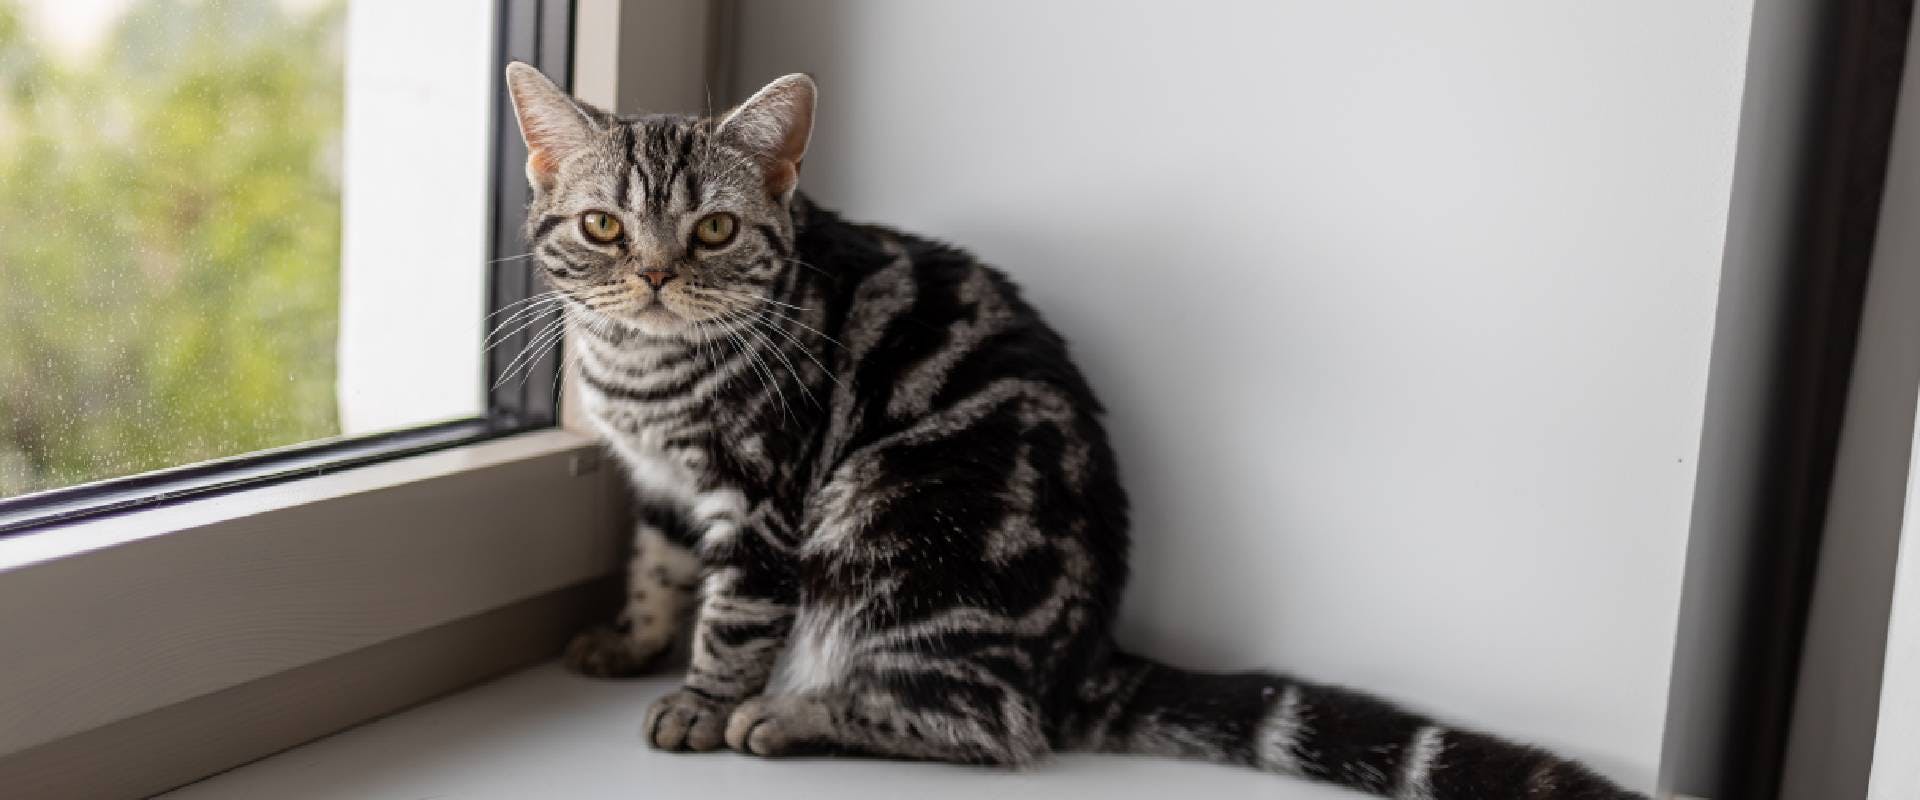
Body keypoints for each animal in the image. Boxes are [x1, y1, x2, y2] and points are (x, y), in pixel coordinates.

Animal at [503, 63, 1643, 798]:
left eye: (714, 230)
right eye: (604, 226)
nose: (656, 273)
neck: (642, 372)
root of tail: (1083, 655)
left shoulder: (765, 497)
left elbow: (735, 613)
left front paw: (699, 698)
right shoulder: (662, 483)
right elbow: (657, 563)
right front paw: (632, 638)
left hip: (892, 519)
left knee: (989, 726)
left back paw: (790, 713)